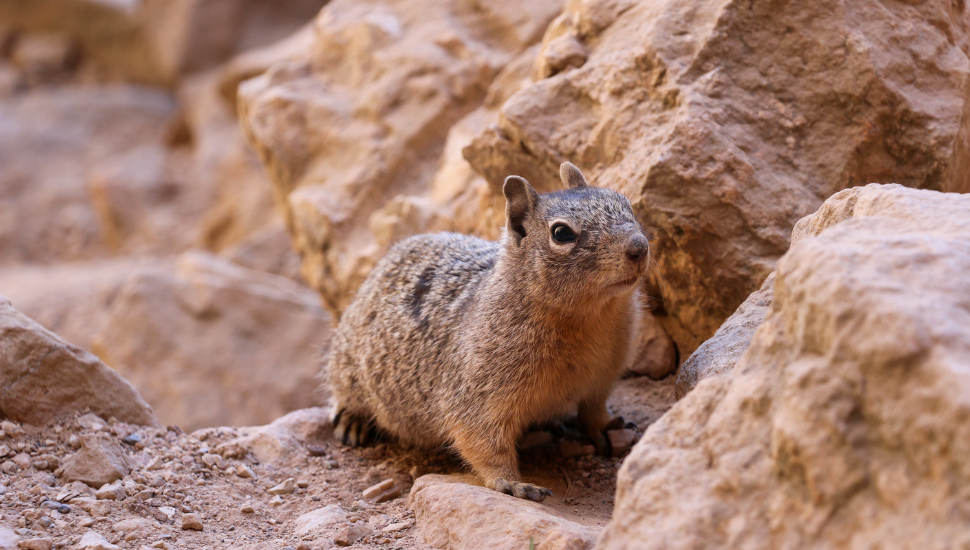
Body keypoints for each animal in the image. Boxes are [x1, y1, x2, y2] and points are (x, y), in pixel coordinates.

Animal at [328, 162, 652, 502]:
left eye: (625, 203)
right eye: (561, 233)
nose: (639, 247)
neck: (590, 319)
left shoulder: (603, 377)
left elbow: (594, 409)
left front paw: (609, 426)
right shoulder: (478, 395)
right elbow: (484, 443)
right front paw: (513, 483)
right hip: (347, 372)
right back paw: (352, 422)